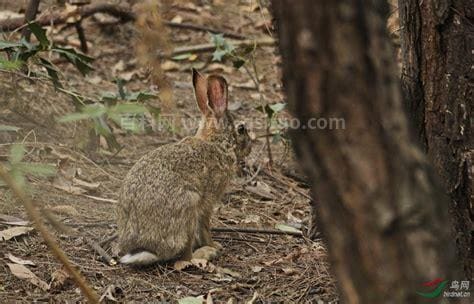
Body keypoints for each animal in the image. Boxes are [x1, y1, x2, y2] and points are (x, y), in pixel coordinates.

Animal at [115, 67, 252, 264]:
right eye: (241, 130)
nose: (250, 147)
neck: (217, 143)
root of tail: (148, 248)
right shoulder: (207, 201)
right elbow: (205, 226)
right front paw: (214, 245)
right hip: (189, 205)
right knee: (185, 256)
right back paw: (204, 253)